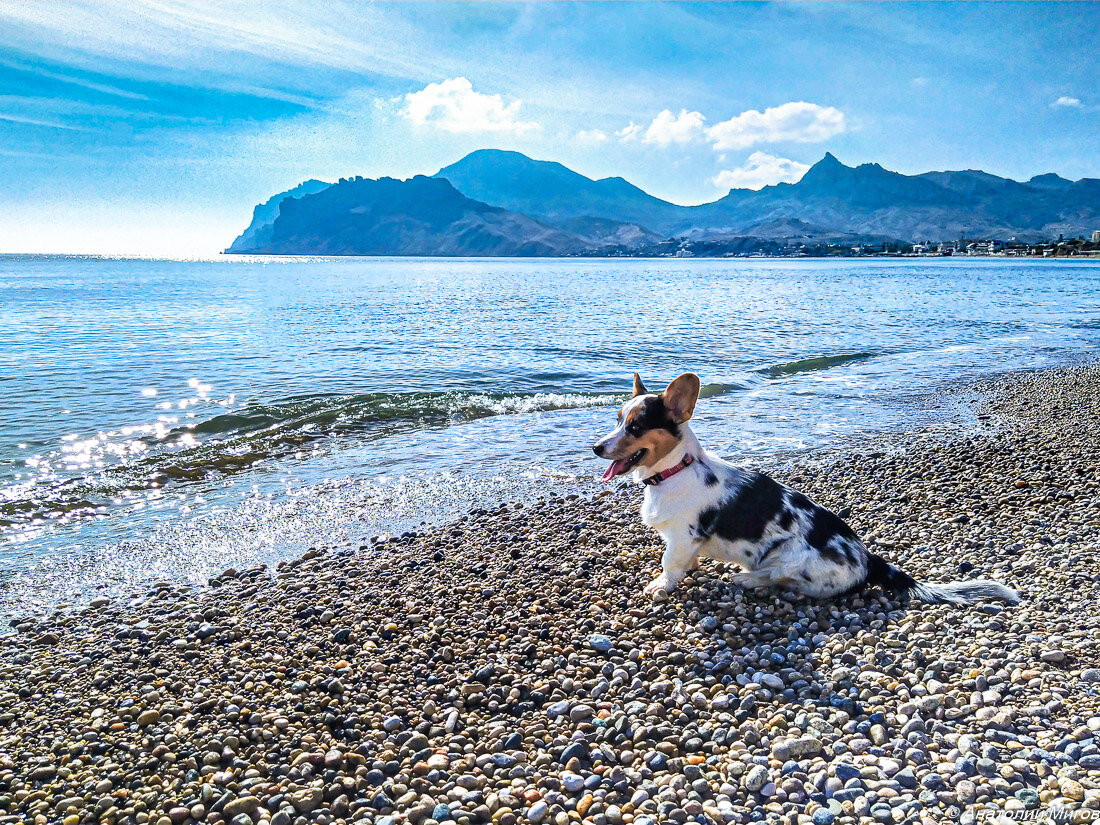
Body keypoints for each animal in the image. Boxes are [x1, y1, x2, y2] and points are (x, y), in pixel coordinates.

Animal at [594, 371, 1020, 602]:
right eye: (616, 419)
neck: (673, 471)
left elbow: (670, 565)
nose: (596, 447)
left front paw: (660, 586)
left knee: (780, 581)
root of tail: (869, 559)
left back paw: (745, 578)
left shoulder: (682, 537)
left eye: (635, 427)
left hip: (789, 558)